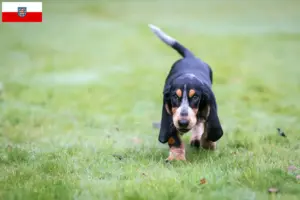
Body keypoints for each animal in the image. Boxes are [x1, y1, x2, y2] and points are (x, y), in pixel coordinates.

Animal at [149, 24, 224, 162]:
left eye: (195, 97)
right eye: (174, 96)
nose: (183, 122)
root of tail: (191, 57)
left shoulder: (209, 104)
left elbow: (208, 129)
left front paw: (208, 144)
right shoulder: (170, 113)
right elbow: (174, 138)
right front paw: (176, 158)